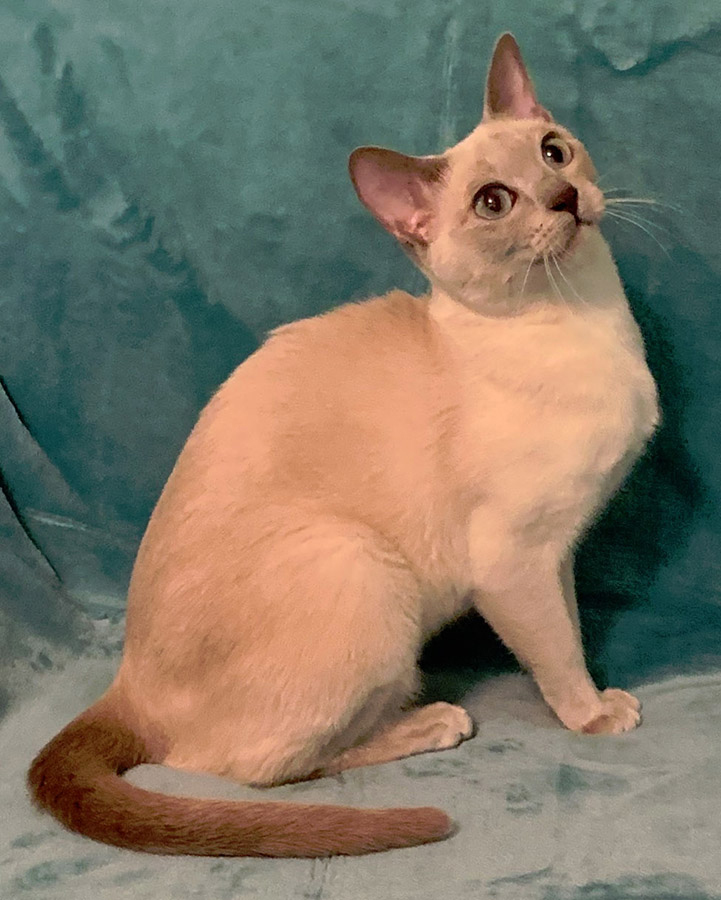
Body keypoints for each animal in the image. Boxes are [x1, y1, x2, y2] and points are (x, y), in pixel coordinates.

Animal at [28, 33, 659, 858]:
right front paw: (594, 715)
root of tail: (125, 679)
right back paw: (432, 721)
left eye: (554, 152)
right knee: (246, 768)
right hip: (360, 565)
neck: (585, 320)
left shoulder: (558, 554)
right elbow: (558, 653)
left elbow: (572, 629)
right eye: (494, 201)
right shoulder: (513, 561)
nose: (563, 197)